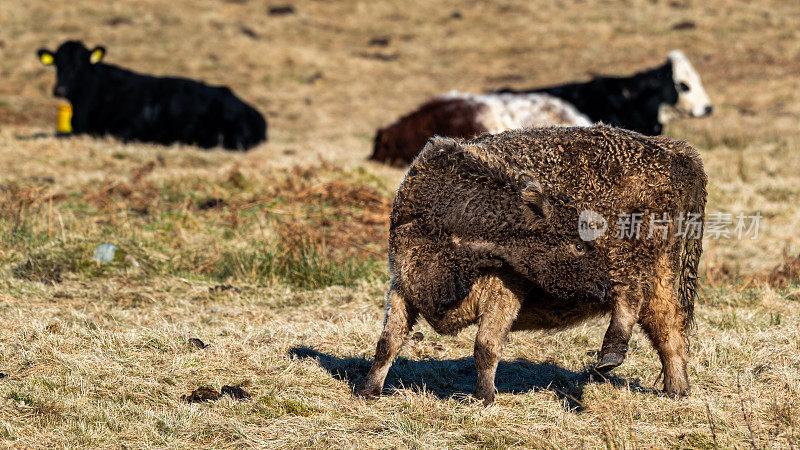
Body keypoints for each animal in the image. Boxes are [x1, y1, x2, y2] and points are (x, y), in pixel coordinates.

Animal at [360, 125, 708, 404]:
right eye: (578, 244)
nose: (600, 286)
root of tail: (677, 150)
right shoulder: (403, 284)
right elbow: (388, 342)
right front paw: (368, 391)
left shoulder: (504, 290)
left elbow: (486, 346)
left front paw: (482, 398)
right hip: (661, 278)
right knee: (668, 327)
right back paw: (677, 391)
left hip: (637, 256)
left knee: (634, 299)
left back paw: (611, 354)